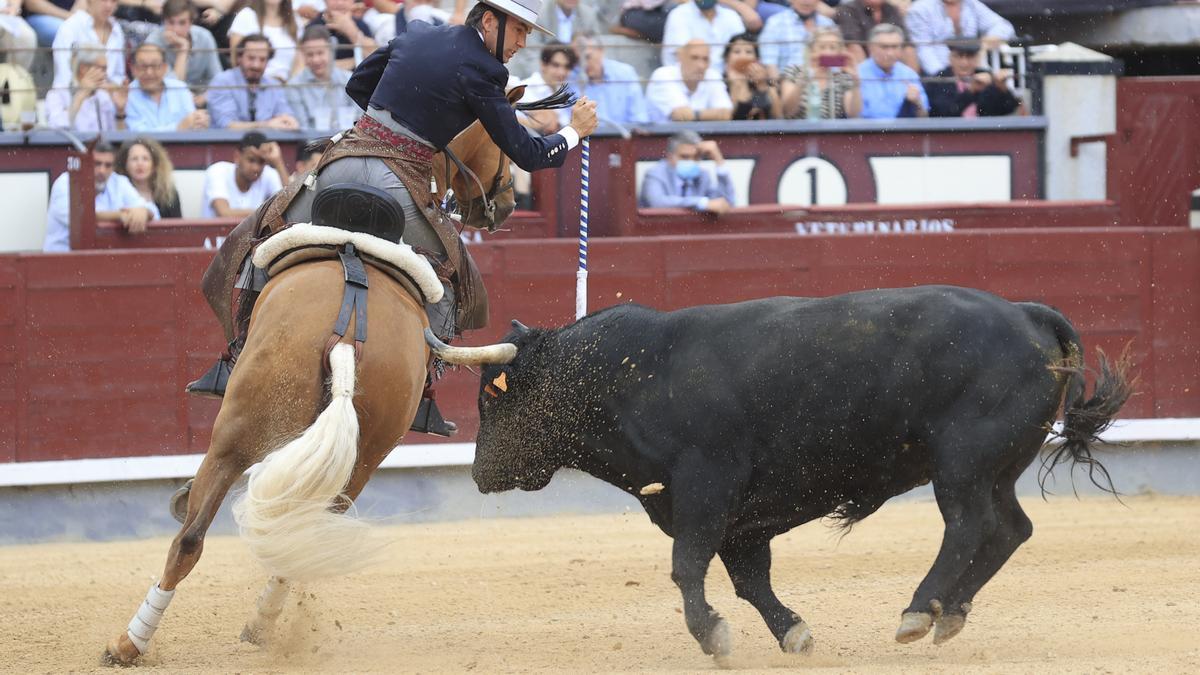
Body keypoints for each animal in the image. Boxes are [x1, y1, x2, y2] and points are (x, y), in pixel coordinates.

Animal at [105, 114, 528, 662]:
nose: (508, 201)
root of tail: (346, 336)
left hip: (239, 429)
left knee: (198, 534)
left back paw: (148, 636)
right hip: (358, 456)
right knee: (273, 539)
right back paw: (207, 633)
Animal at [432, 283, 1132, 658]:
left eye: (491, 395)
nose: (479, 473)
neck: (628, 374)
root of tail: (1026, 312)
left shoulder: (706, 485)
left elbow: (688, 565)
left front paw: (711, 637)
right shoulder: (737, 517)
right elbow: (748, 579)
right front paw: (792, 633)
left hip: (961, 462)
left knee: (967, 527)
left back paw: (917, 611)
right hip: (998, 464)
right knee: (1010, 529)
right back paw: (948, 614)